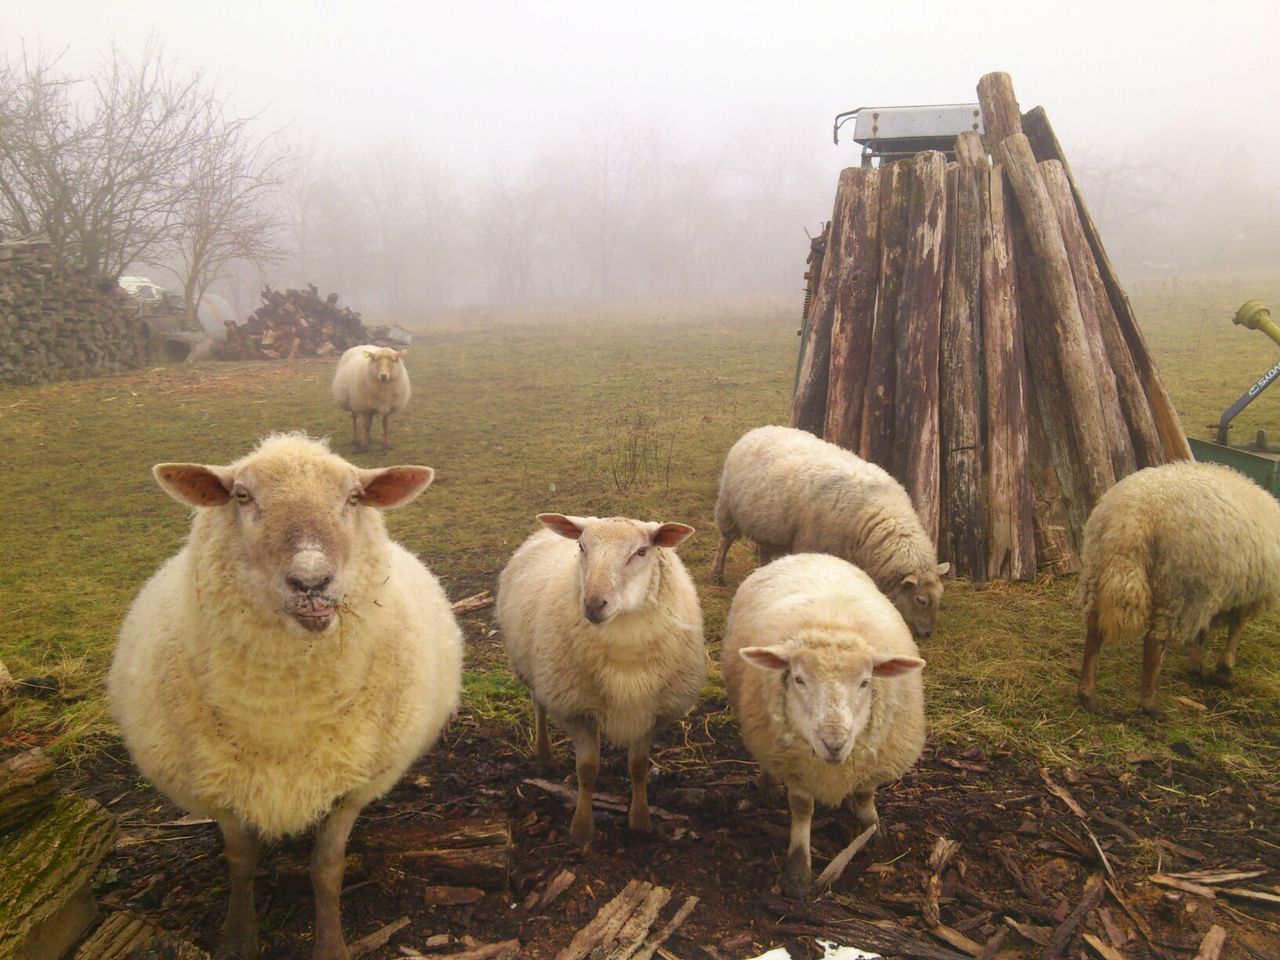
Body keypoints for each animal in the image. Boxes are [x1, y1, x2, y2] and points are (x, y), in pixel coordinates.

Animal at [108, 435, 460, 960]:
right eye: (241, 496)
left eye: (354, 497)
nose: (311, 582)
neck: (282, 718)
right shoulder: (219, 789)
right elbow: (240, 859)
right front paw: (238, 937)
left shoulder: (352, 786)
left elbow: (326, 868)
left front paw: (330, 944)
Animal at [496, 514, 701, 844]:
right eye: (581, 546)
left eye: (641, 551)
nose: (593, 604)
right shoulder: (577, 710)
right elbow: (587, 770)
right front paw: (581, 829)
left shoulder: (650, 711)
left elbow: (639, 767)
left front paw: (639, 821)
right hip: (533, 670)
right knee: (539, 706)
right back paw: (544, 756)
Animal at [711, 427, 952, 640]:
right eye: (921, 600)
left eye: (940, 597)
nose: (927, 634)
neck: (879, 518)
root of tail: (759, 429)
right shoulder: (811, 544)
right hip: (727, 508)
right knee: (724, 542)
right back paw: (717, 576)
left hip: (768, 525)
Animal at [727, 552, 926, 901]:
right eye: (798, 678)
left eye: (865, 681)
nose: (834, 743)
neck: (833, 625)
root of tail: (808, 553)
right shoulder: (795, 763)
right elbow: (802, 808)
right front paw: (797, 872)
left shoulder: (874, 756)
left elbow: (865, 794)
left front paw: (872, 828)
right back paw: (769, 785)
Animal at [1080, 463, 1280, 716]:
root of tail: (1132, 518)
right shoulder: (1244, 593)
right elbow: (1236, 627)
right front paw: (1224, 670)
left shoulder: (1212, 596)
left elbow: (1202, 633)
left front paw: (1201, 666)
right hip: (1177, 587)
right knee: (1154, 642)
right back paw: (1150, 705)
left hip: (1098, 570)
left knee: (1094, 629)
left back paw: (1088, 696)